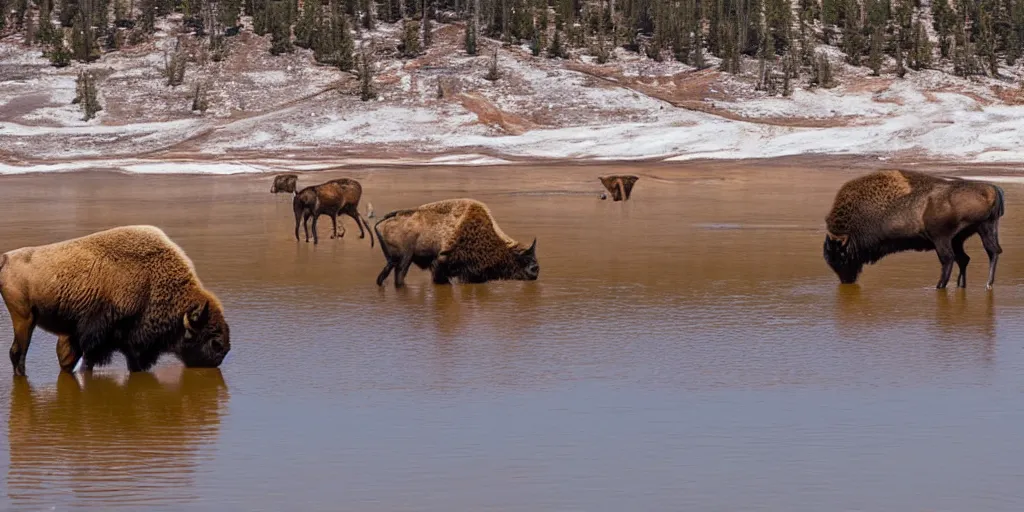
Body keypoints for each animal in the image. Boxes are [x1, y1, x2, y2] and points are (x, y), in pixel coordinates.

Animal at [0, 225, 232, 376]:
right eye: (214, 342)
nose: (216, 362)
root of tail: (6, 258)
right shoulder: (96, 339)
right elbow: (86, 363)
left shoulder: (127, 344)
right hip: (24, 319)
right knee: (17, 352)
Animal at [372, 197, 540, 288]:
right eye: (523, 258)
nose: (535, 270)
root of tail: (381, 222)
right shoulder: (441, 263)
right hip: (405, 260)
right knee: (399, 276)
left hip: (392, 261)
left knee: (383, 277)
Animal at [819, 167, 1003, 288]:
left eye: (839, 254)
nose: (846, 280)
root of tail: (991, 189)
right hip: (977, 232)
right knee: (978, 255)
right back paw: (969, 285)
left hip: (944, 238)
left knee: (950, 259)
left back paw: (942, 286)